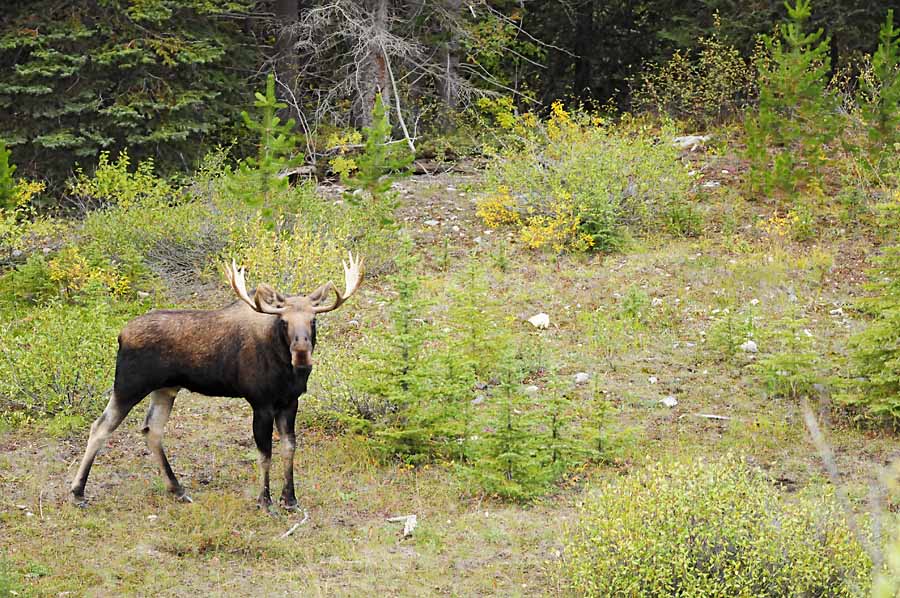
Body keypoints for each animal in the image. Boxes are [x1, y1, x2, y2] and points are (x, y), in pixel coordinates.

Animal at [70, 252, 364, 509]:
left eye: (313, 320)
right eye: (283, 321)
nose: (301, 352)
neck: (286, 370)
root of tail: (121, 335)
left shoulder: (290, 402)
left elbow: (289, 448)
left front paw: (289, 499)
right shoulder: (261, 403)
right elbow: (264, 453)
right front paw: (265, 501)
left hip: (165, 389)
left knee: (151, 430)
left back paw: (178, 489)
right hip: (128, 386)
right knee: (100, 427)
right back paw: (77, 492)